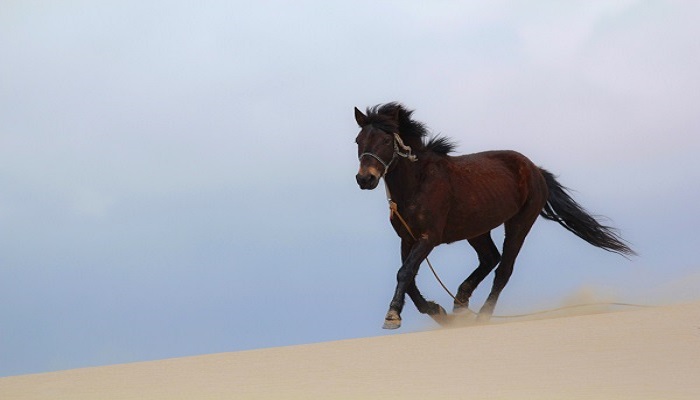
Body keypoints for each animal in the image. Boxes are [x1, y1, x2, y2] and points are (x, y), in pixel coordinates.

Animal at [356, 102, 636, 328]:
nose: (365, 179)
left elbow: (405, 273)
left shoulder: (428, 238)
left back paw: (482, 315)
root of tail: (535, 170)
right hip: (477, 229)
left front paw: (392, 316)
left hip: (519, 223)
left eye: (385, 141)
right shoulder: (408, 238)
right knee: (490, 258)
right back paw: (460, 303)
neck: (418, 182)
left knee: (503, 269)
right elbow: (408, 276)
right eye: (359, 141)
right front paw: (438, 312)